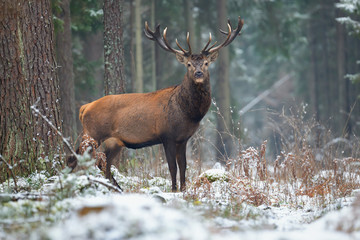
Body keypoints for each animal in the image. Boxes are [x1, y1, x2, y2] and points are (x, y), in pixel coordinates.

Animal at [69, 16, 243, 192]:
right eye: (188, 64)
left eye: (206, 63)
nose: (198, 73)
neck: (188, 113)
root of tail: (84, 108)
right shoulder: (167, 136)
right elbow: (172, 167)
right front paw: (173, 190)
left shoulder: (183, 138)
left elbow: (183, 166)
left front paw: (183, 189)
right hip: (93, 134)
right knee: (77, 158)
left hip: (114, 141)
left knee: (102, 162)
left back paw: (115, 188)